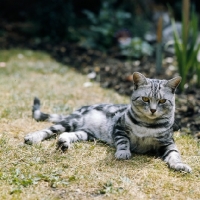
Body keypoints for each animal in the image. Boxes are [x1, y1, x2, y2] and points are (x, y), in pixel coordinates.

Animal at [24, 72, 191, 173]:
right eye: (145, 99)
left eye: (162, 101)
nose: (153, 110)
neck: (147, 126)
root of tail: (80, 108)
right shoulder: (119, 127)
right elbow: (123, 141)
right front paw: (123, 152)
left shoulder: (167, 142)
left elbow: (174, 154)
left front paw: (179, 165)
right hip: (71, 122)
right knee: (49, 129)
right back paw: (33, 137)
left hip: (85, 133)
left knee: (69, 134)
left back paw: (63, 142)